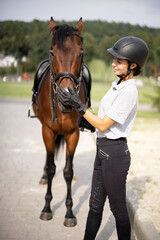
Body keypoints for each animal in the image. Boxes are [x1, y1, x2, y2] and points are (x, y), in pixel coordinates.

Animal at [31, 17, 87, 227]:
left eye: (80, 54)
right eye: (52, 53)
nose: (66, 98)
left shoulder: (73, 134)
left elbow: (67, 171)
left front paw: (69, 213)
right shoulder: (47, 131)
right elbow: (52, 168)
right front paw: (47, 208)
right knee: (49, 161)